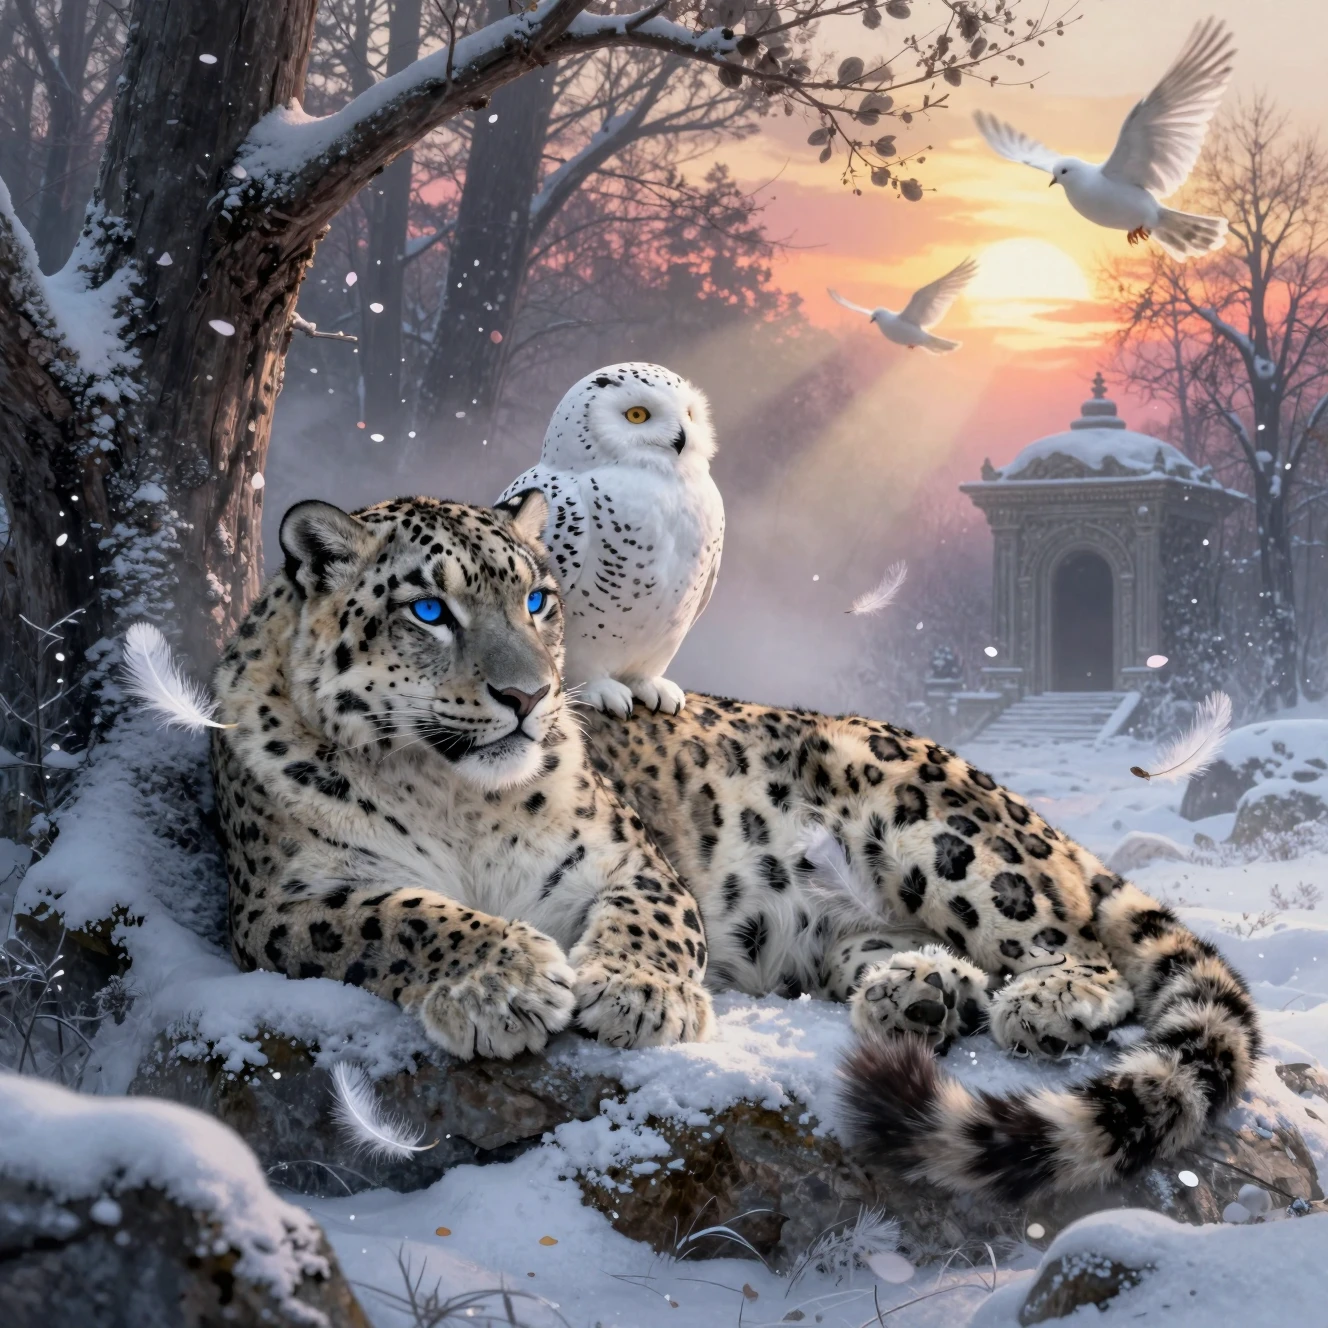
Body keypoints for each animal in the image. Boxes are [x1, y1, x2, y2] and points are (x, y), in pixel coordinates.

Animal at [210, 492, 1259, 1200]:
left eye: (539, 601)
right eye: (429, 611)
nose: (528, 696)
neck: (455, 794)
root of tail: (1005, 793)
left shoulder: (630, 859)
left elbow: (648, 920)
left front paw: (637, 995)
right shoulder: (281, 903)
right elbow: (406, 915)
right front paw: (501, 985)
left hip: (934, 830)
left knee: (1072, 939)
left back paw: (1038, 999)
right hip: (846, 927)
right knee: (925, 952)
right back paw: (917, 994)